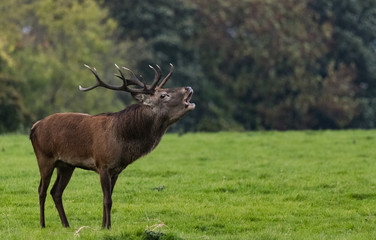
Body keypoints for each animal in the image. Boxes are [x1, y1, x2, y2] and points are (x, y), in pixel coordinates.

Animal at [28, 63, 197, 229]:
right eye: (163, 95)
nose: (188, 87)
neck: (123, 140)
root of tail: (34, 127)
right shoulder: (103, 164)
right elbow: (107, 200)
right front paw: (107, 227)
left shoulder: (116, 170)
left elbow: (107, 198)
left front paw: (104, 226)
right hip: (44, 158)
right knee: (42, 190)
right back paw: (42, 224)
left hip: (66, 165)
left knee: (56, 192)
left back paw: (66, 225)